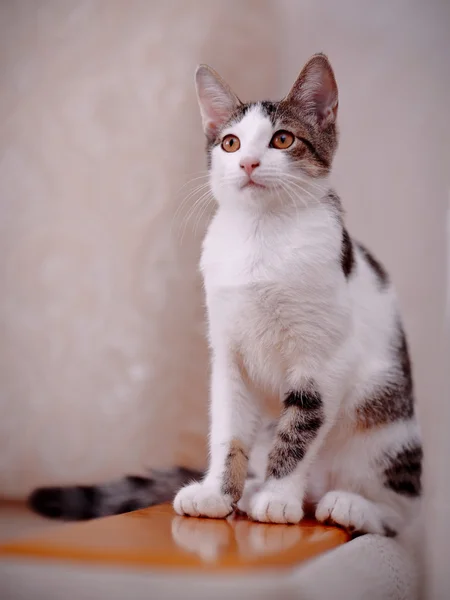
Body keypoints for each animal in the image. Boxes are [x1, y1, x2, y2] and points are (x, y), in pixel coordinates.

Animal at [30, 55, 422, 536]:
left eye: (283, 139)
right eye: (230, 143)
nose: (249, 163)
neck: (260, 235)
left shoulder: (324, 361)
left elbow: (301, 429)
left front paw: (277, 498)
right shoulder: (229, 353)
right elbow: (227, 427)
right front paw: (217, 494)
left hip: (387, 431)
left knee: (400, 511)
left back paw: (347, 505)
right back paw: (252, 489)